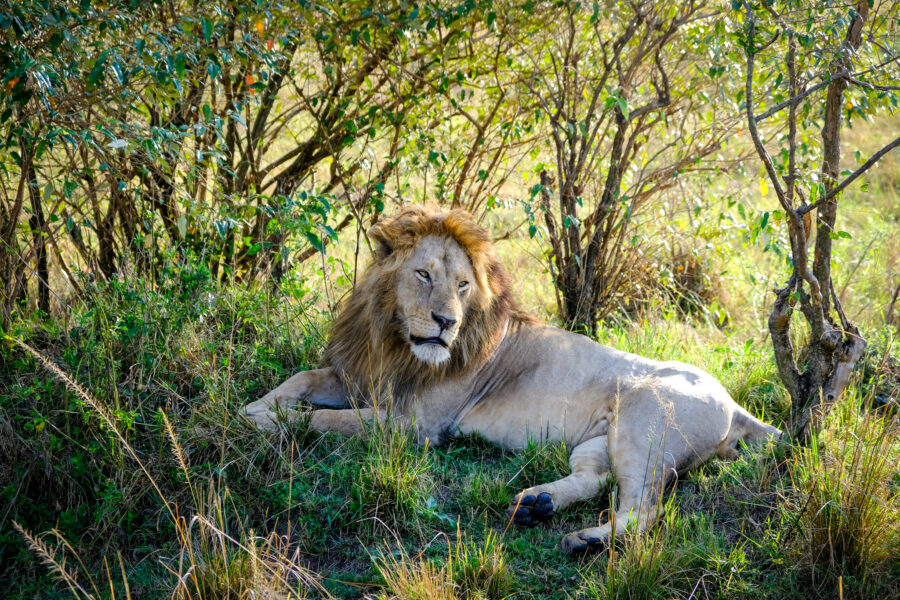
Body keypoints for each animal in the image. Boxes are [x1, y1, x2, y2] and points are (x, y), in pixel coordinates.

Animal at [241, 206, 780, 552]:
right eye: (423, 275)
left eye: (462, 285)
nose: (446, 322)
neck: (392, 338)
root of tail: (735, 403)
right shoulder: (361, 376)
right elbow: (300, 378)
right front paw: (256, 409)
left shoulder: (414, 426)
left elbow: (323, 422)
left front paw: (278, 423)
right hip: (599, 440)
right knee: (597, 478)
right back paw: (537, 504)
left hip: (642, 423)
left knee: (645, 509)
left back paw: (585, 539)